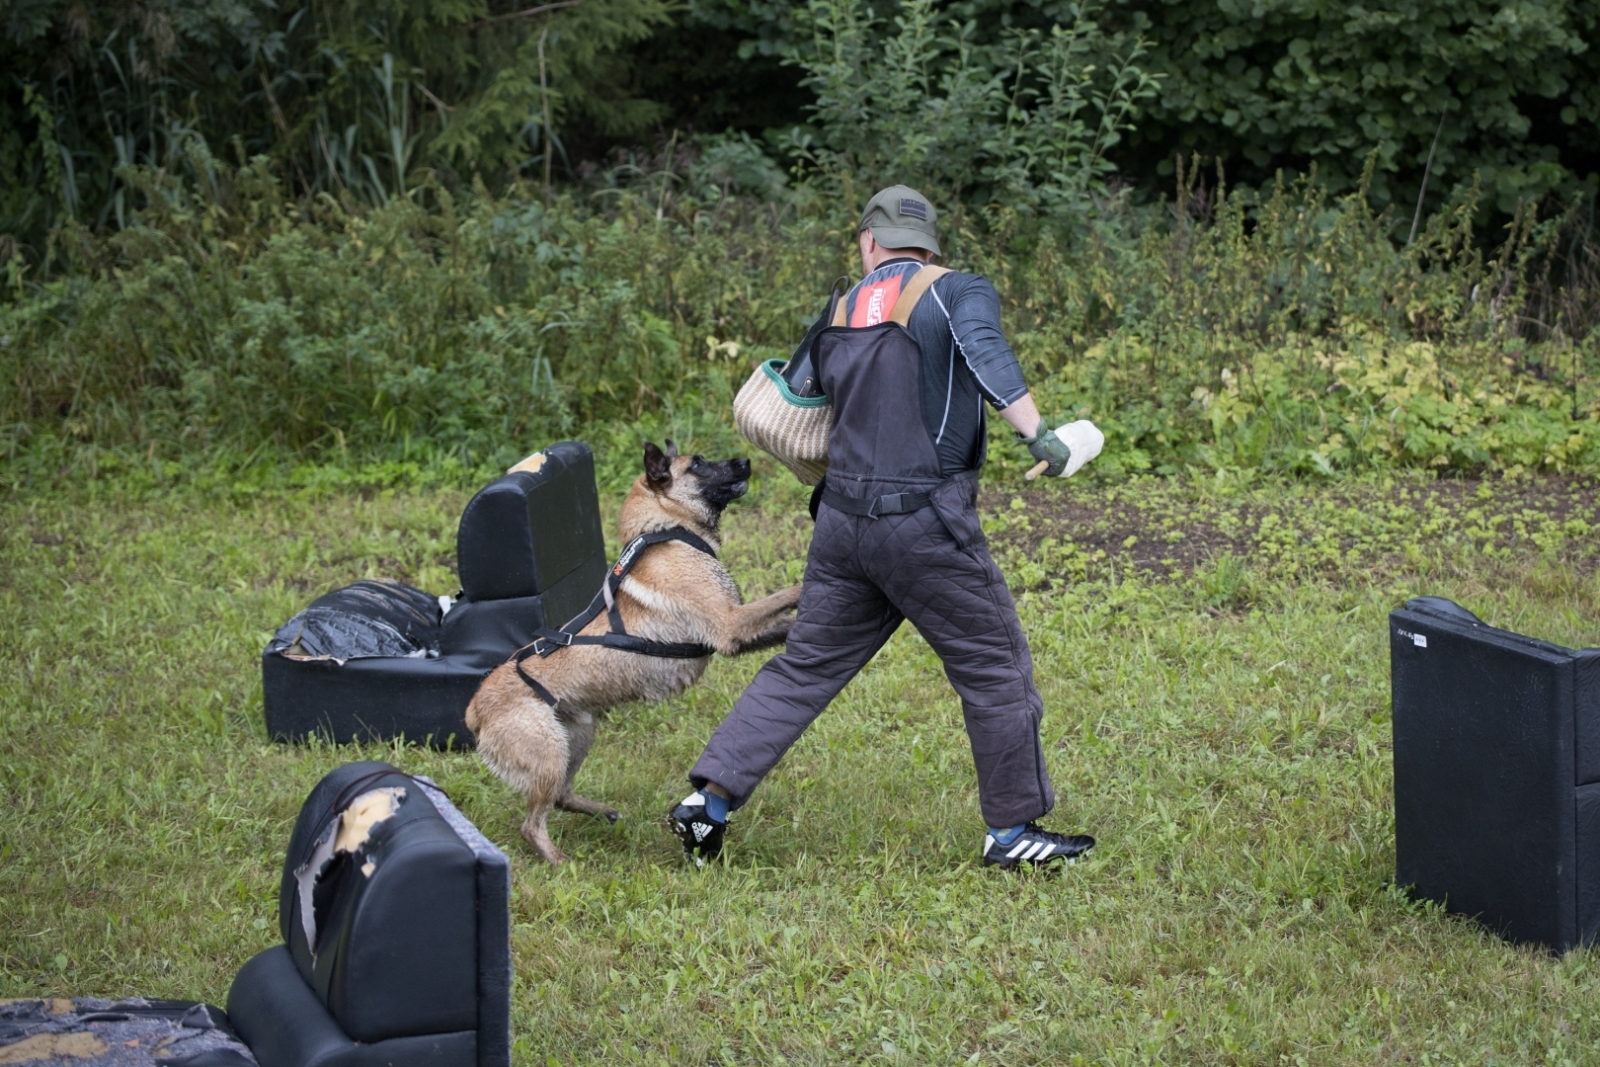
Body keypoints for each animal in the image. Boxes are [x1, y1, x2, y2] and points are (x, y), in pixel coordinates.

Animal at [467, 441, 806, 870]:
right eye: (698, 464)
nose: (746, 460)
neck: (668, 530)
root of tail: (474, 709)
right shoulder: (731, 625)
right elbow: (788, 594)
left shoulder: (735, 634)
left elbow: (786, 622)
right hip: (549, 754)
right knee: (533, 824)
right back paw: (561, 861)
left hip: (576, 738)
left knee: (561, 797)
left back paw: (603, 813)